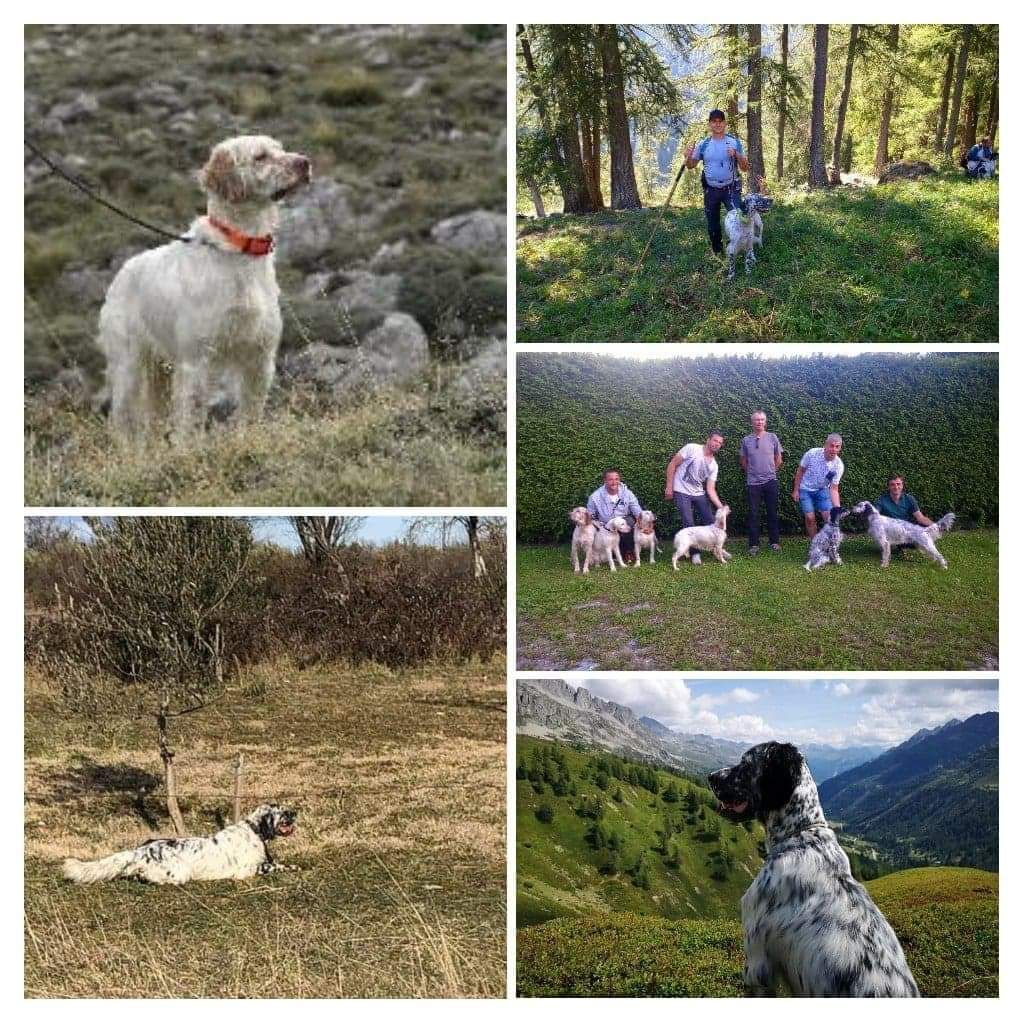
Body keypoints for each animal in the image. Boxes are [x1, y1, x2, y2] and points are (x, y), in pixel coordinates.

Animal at [62, 802, 299, 884]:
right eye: (281, 811)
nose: (294, 812)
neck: (254, 830)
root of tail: (141, 850)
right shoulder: (246, 870)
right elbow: (274, 867)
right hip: (179, 872)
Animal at [103, 134, 313, 438]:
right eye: (260, 156)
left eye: (281, 149)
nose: (305, 163)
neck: (241, 249)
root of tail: (122, 272)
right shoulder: (197, 363)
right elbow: (189, 427)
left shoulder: (259, 359)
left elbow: (249, 417)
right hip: (128, 369)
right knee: (124, 426)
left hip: (159, 374)